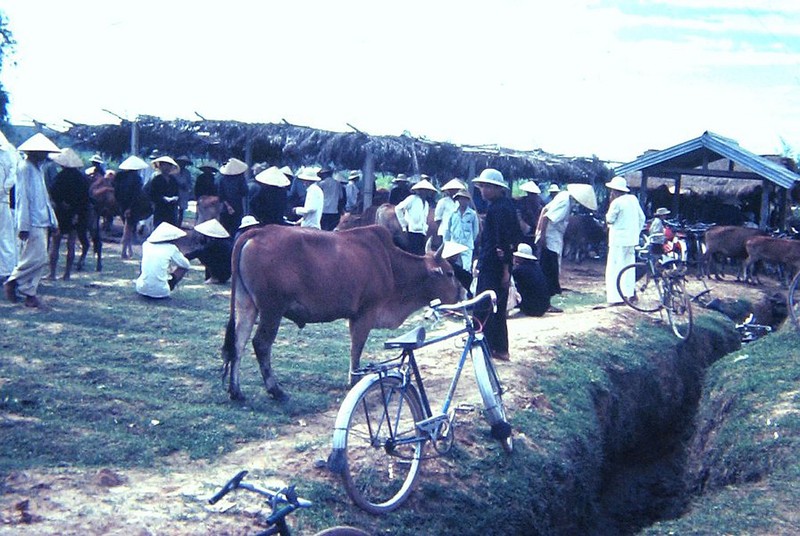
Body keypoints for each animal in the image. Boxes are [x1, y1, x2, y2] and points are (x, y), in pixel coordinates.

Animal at [219, 223, 460, 402]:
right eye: (449, 273)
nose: (463, 292)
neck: (392, 265)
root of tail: (257, 231)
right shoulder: (365, 313)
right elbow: (356, 348)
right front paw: (353, 381)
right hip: (272, 309)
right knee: (260, 344)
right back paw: (275, 390)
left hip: (246, 304)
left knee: (238, 343)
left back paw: (236, 390)